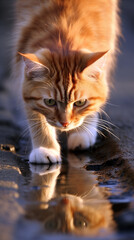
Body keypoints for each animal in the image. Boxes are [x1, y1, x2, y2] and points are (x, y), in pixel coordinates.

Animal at [14, 0, 120, 163]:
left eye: (80, 102)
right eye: (50, 102)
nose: (65, 123)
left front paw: (83, 131)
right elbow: (37, 118)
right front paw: (45, 148)